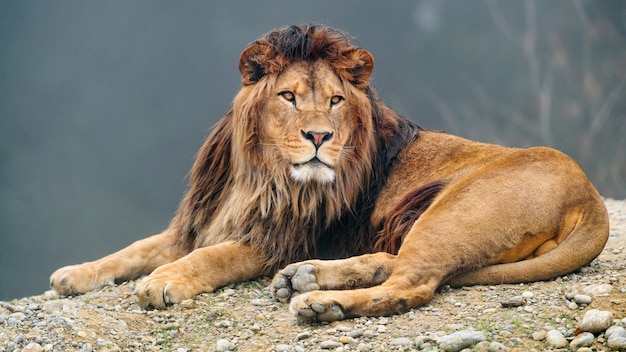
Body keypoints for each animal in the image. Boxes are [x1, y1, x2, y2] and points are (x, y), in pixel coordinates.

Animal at [51, 24, 608, 322]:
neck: (259, 174)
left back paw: (320, 302)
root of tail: (592, 198)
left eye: (336, 101)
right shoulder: (198, 222)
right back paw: (306, 278)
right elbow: (132, 250)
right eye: (288, 96)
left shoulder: (276, 238)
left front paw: (165, 281)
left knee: (412, 285)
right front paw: (74, 274)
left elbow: (212, 257)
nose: (319, 137)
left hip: (454, 211)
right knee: (395, 262)